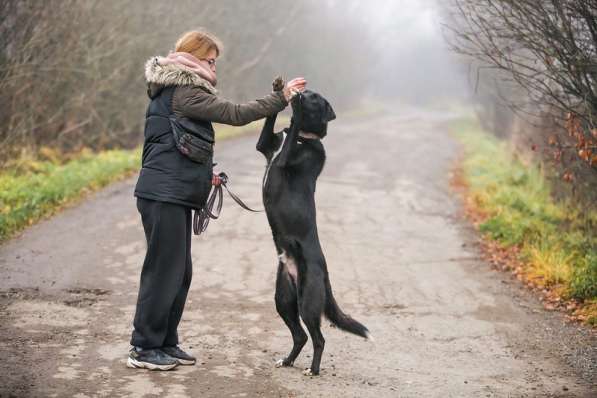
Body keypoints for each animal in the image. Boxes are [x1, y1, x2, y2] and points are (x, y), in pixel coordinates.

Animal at [255, 78, 368, 376]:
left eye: (315, 98)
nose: (303, 93)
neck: (304, 139)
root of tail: (325, 272)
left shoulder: (283, 159)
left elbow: (291, 129)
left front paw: (293, 106)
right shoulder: (265, 146)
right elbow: (270, 124)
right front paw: (279, 89)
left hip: (307, 301)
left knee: (318, 338)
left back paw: (313, 370)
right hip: (283, 299)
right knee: (300, 336)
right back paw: (287, 360)